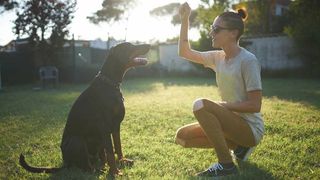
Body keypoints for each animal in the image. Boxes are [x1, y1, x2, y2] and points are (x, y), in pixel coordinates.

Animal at [19, 41, 151, 176]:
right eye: (130, 46)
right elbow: (110, 151)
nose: (149, 45)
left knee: (99, 157)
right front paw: (114, 171)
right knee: (86, 166)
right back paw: (96, 170)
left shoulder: (116, 126)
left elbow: (118, 146)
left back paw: (102, 166)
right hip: (77, 141)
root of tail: (65, 162)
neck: (110, 83)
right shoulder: (105, 127)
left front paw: (122, 161)